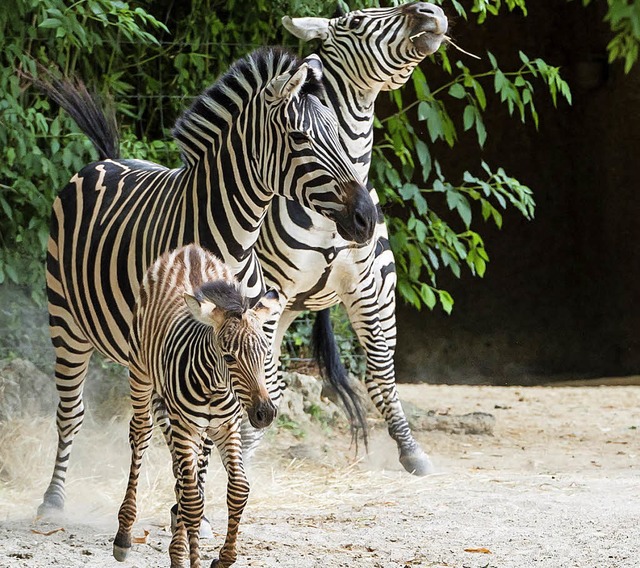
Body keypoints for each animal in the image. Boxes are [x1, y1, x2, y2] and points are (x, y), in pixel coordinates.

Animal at [36, 45, 380, 516]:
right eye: (300, 139)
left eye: (338, 137)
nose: (367, 219)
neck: (230, 246)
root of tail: (107, 159)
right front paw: (190, 508)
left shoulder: (244, 342)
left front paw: (196, 507)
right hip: (65, 321)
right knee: (71, 412)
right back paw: (53, 498)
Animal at [114, 243, 278, 568]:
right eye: (229, 357)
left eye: (265, 352)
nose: (264, 414)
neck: (216, 386)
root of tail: (188, 251)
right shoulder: (186, 425)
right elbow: (192, 500)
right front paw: (190, 559)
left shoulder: (227, 426)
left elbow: (238, 489)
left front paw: (222, 558)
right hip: (140, 373)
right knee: (141, 435)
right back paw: (124, 535)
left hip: (199, 429)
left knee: (188, 471)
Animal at [252, 3, 448, 474]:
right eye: (357, 22)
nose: (431, 11)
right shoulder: (270, 286)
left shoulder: (369, 289)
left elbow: (379, 374)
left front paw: (411, 451)